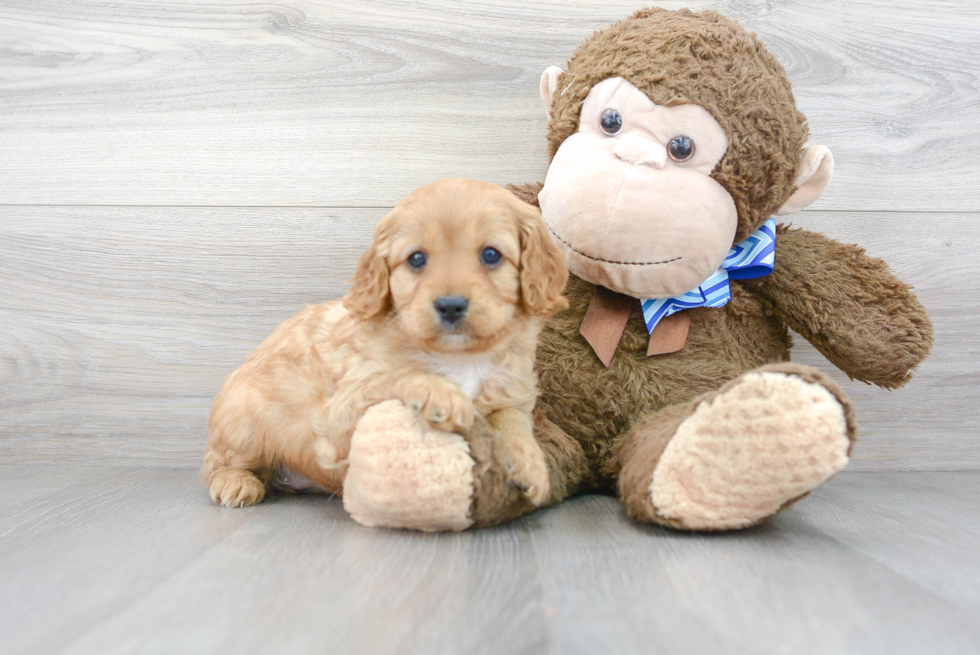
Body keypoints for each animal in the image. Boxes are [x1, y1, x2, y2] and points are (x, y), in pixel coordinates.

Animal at [201, 179, 568, 512]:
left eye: (491, 255)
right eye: (416, 259)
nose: (450, 306)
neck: (458, 357)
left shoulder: (512, 392)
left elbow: (513, 420)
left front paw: (532, 465)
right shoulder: (339, 414)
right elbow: (397, 375)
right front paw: (442, 394)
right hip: (243, 424)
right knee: (217, 464)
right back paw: (236, 482)